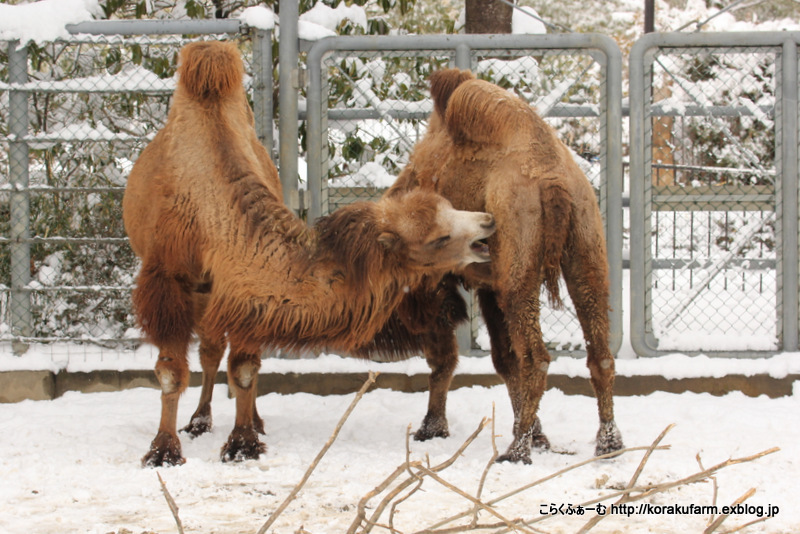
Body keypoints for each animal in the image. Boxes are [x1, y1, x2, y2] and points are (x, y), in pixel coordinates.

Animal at [122, 43, 494, 468]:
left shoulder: (240, 294)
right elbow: (170, 373)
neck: (206, 211)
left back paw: (250, 420)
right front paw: (163, 450)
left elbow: (245, 368)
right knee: (208, 354)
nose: (487, 222)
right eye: (439, 236)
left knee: (221, 354)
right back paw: (199, 421)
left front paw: (243, 442)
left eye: (449, 206)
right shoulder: (167, 279)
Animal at [376, 69, 624, 464]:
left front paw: (430, 428)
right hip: (585, 251)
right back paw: (608, 444)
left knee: (536, 357)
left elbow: (450, 358)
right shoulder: (490, 286)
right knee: (599, 353)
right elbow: (503, 359)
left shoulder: (453, 283)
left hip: (518, 272)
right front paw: (540, 436)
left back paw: (514, 451)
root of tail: (553, 179)